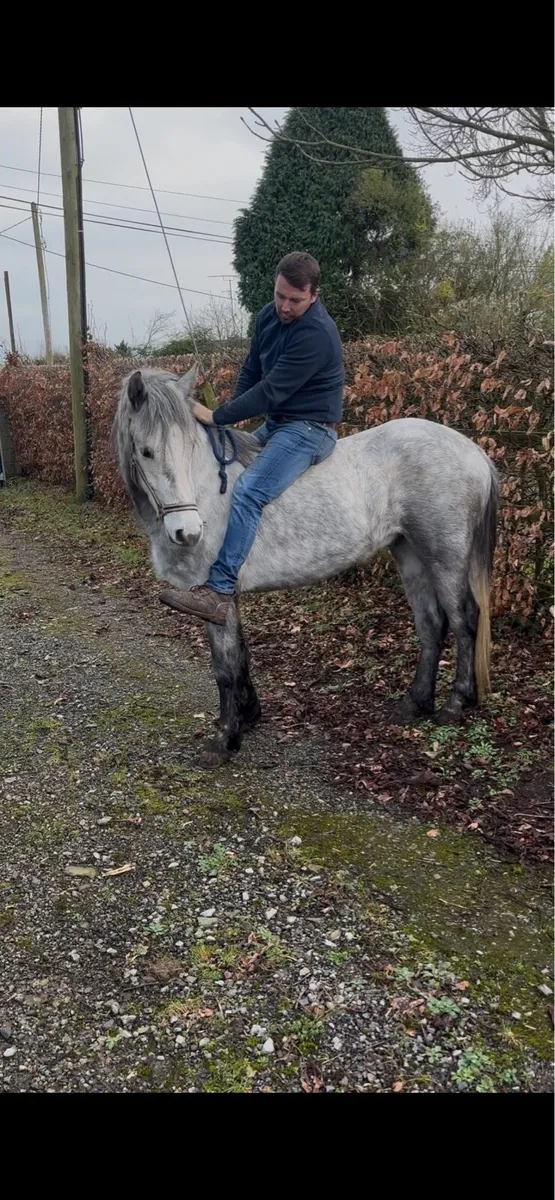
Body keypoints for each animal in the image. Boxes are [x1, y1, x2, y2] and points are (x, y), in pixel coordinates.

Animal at [113, 365, 499, 767]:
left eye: (189, 448)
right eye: (146, 451)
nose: (187, 532)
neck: (208, 491)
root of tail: (473, 452)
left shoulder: (215, 596)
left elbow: (225, 668)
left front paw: (224, 738)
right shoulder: (227, 599)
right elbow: (241, 656)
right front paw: (248, 717)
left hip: (445, 557)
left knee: (464, 622)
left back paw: (455, 703)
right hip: (410, 554)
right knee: (431, 625)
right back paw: (416, 702)